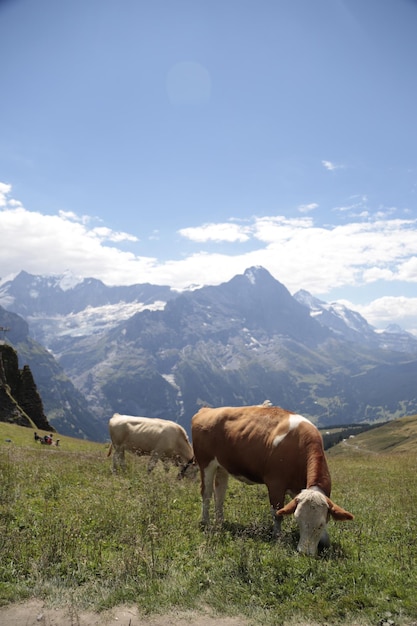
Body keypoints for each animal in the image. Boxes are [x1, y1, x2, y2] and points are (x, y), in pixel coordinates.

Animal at [190, 402, 352, 552]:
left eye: (321, 524)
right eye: (297, 520)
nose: (304, 552)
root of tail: (207, 410)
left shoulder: (297, 490)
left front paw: (325, 539)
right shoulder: (276, 483)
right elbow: (277, 513)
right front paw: (277, 537)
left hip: (222, 466)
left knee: (220, 493)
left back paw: (220, 521)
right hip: (206, 463)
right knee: (206, 493)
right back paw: (206, 522)